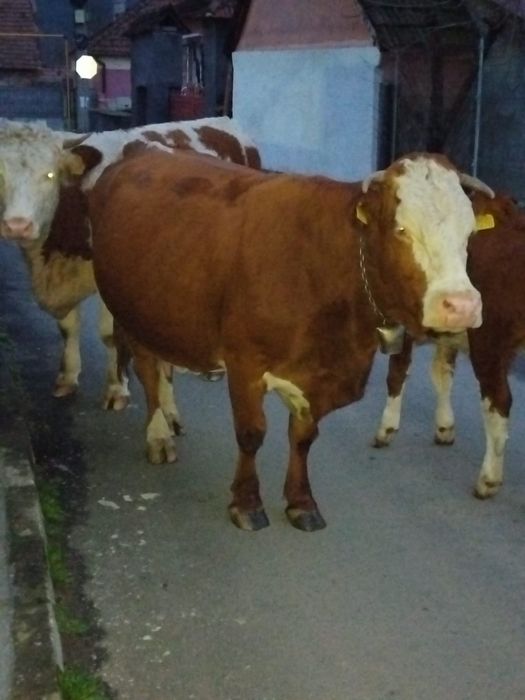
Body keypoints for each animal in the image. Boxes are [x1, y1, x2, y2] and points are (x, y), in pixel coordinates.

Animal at [0, 117, 261, 410]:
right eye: (0, 175)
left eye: (49, 175)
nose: (17, 225)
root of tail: (224, 122)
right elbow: (68, 327)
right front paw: (67, 378)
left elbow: (110, 335)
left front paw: (117, 388)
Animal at [84, 147, 489, 531]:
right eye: (401, 230)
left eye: (470, 233)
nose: (462, 306)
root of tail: (138, 155)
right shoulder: (245, 363)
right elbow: (251, 434)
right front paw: (246, 503)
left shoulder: (320, 377)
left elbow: (303, 437)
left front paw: (301, 503)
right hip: (130, 312)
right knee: (148, 371)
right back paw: (158, 436)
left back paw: (171, 417)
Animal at [373, 191, 525, 500]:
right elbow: (442, 374)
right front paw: (445, 427)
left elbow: (397, 373)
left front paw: (386, 429)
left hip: (488, 344)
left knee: (499, 403)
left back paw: (488, 480)